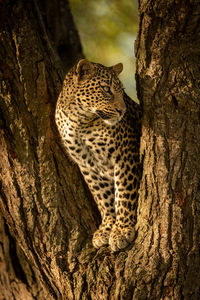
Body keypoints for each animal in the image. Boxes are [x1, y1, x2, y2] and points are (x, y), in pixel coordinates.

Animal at [55, 58, 141, 251]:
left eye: (122, 91)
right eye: (106, 89)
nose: (122, 111)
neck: (79, 121)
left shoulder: (125, 153)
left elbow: (123, 193)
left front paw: (122, 230)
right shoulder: (88, 165)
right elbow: (103, 197)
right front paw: (107, 228)